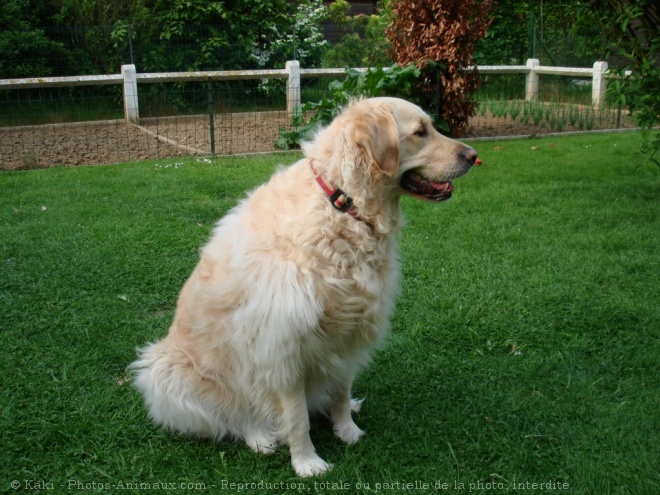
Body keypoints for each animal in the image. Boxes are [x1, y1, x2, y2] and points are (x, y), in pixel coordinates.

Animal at [130, 97, 480, 476]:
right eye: (420, 132)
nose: (474, 155)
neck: (344, 204)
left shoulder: (349, 332)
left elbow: (340, 390)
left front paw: (347, 429)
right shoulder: (282, 347)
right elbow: (297, 417)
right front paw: (307, 462)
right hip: (167, 371)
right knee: (233, 415)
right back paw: (260, 437)